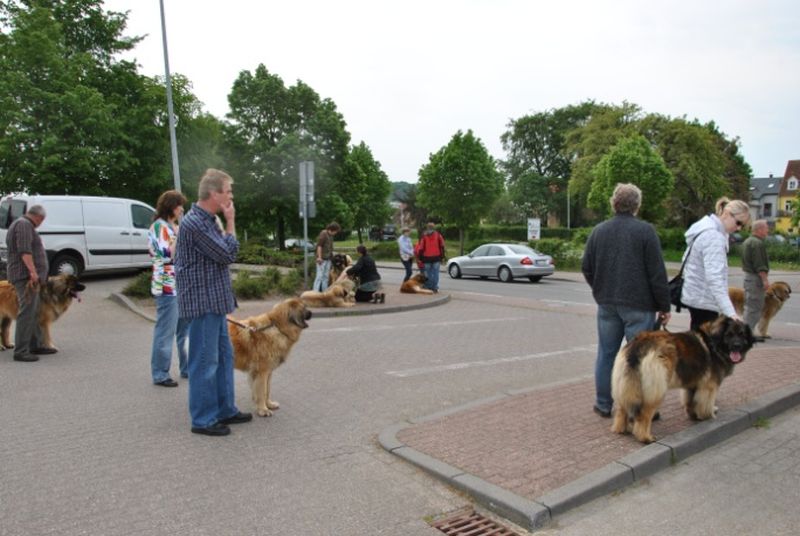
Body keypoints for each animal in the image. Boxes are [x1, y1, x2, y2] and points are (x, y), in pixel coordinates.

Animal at [611, 316, 755, 444]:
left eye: (742, 335)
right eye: (729, 335)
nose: (737, 345)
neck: (714, 343)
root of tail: (640, 345)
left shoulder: (693, 383)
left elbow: (691, 400)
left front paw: (693, 415)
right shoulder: (709, 386)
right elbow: (706, 402)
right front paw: (708, 415)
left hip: (625, 384)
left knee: (622, 409)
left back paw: (622, 429)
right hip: (656, 390)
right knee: (643, 415)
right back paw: (645, 437)